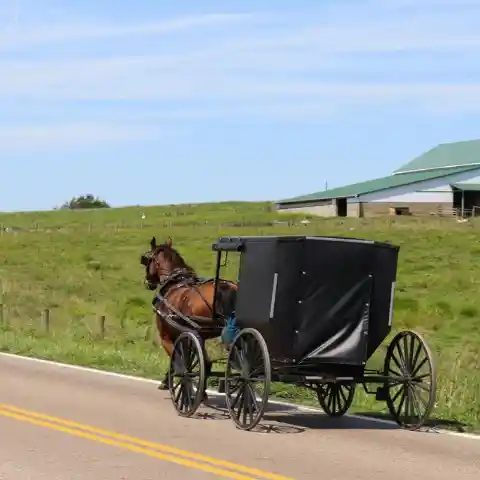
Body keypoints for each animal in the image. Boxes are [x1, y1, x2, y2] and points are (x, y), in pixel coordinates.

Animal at [141, 234, 238, 396]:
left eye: (147, 260)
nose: (149, 283)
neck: (174, 282)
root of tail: (224, 287)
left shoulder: (168, 337)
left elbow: (177, 361)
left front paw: (168, 382)